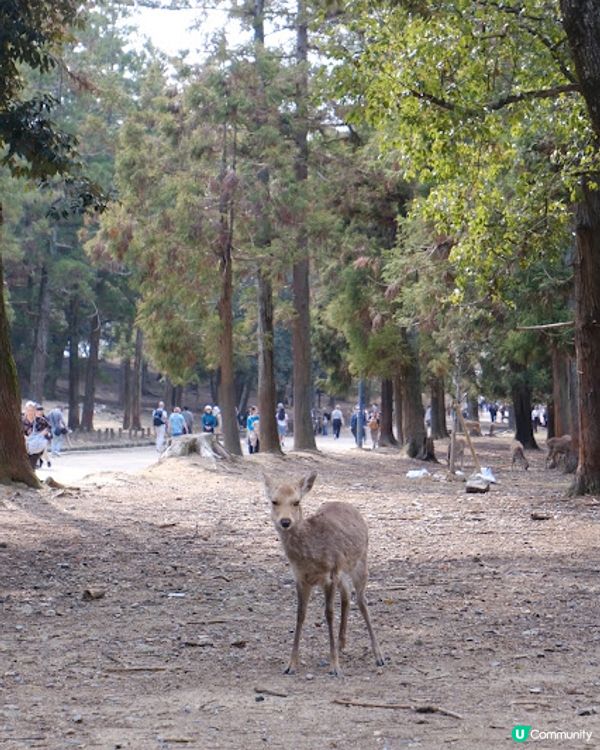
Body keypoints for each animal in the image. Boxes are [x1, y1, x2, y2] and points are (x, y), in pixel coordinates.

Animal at [263, 471, 384, 677]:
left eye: (296, 501)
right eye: (274, 501)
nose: (285, 522)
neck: (310, 555)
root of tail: (350, 507)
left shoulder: (330, 574)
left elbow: (329, 614)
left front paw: (334, 666)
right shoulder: (301, 578)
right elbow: (300, 614)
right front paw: (291, 664)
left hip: (361, 562)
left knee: (362, 601)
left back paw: (379, 656)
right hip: (343, 571)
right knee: (347, 593)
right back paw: (342, 643)